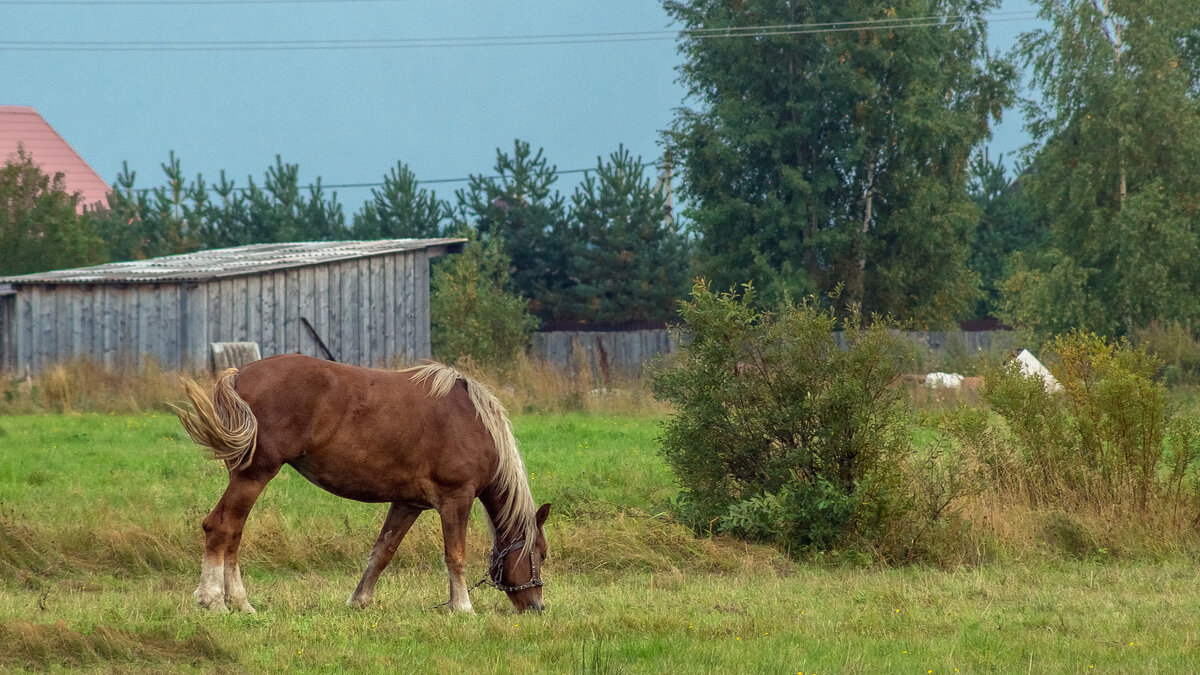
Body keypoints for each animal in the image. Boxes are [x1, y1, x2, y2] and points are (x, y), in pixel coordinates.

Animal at [171, 355, 549, 612]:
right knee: (221, 526)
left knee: (234, 532)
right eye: (542, 554)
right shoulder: (457, 498)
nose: (537, 606)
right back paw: (213, 600)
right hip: (255, 475)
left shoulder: (408, 503)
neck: (474, 423)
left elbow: (382, 552)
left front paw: (359, 600)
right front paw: (463, 607)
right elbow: (455, 555)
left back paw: (241, 603)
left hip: (245, 477)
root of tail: (240, 374)